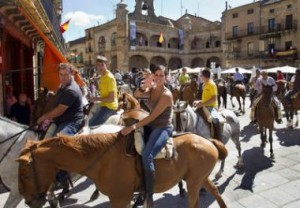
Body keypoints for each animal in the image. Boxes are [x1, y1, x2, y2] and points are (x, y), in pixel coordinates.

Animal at [18, 132, 227, 208]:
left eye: (26, 174)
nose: (29, 202)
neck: (102, 158)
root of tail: (209, 141)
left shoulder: (119, 198)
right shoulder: (123, 199)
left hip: (193, 182)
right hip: (199, 179)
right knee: (215, 192)